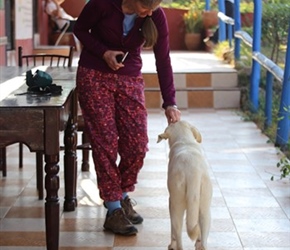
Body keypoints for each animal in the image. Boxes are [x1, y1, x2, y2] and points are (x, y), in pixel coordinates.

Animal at [157, 120, 212, 249]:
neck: (184, 140)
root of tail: (193, 173)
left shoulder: (170, 202)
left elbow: (172, 231)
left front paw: (171, 243)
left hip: (177, 206)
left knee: (178, 236)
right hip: (206, 211)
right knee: (203, 239)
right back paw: (200, 244)